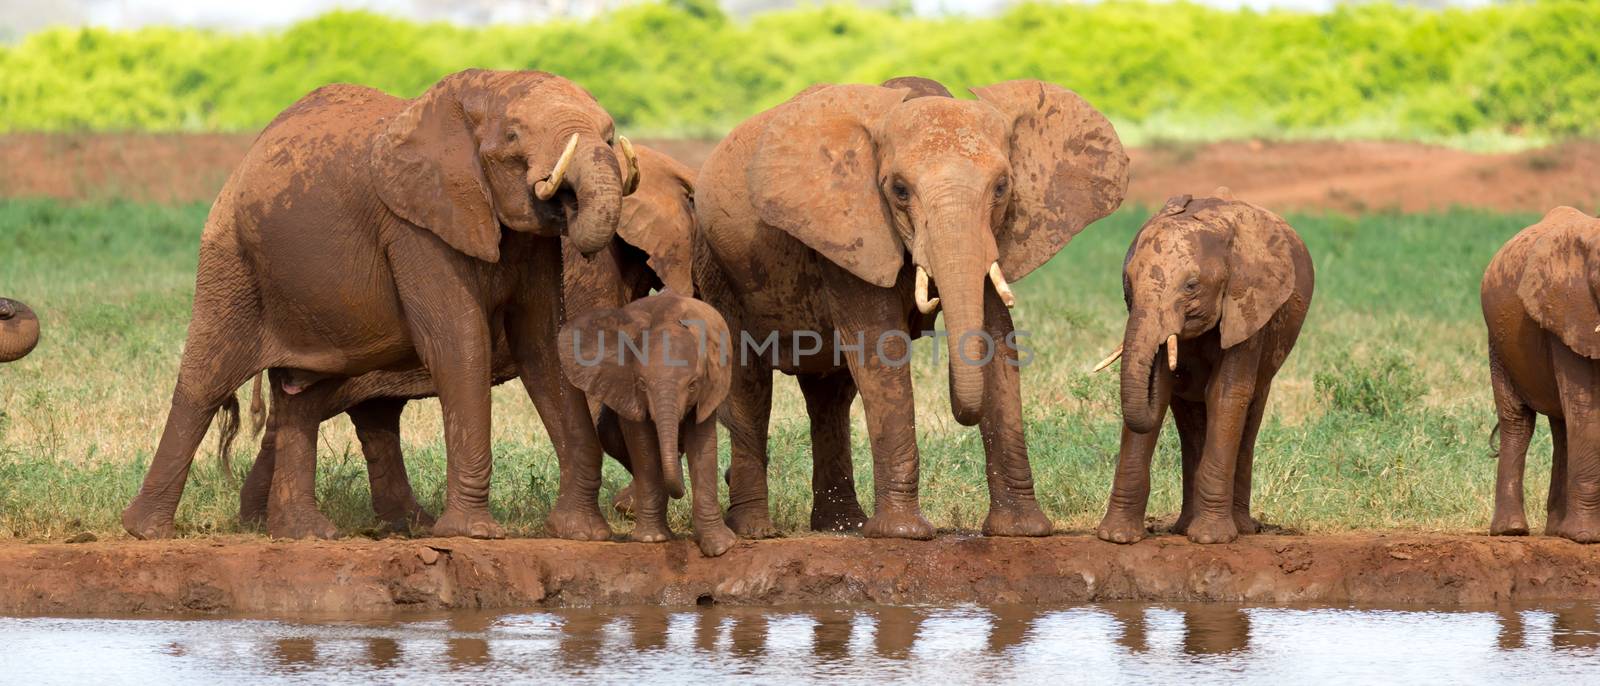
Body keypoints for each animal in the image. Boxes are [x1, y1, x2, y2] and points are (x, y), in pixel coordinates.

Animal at [120, 69, 636, 540]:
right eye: (513, 136)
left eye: (610, 136)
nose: (566, 201)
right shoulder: (414, 227)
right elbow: (459, 342)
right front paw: (473, 534)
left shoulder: (532, 244)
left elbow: (544, 347)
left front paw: (584, 533)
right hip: (230, 258)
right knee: (206, 380)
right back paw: (147, 531)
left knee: (301, 396)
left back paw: (305, 534)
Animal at [556, 291, 736, 553]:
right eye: (642, 384)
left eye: (693, 385)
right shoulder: (626, 388)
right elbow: (642, 445)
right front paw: (653, 539)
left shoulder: (710, 388)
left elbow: (703, 445)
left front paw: (720, 547)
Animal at [1094, 189, 1318, 543]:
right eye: (1127, 282)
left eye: (1191, 286)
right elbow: (1158, 397)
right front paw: (1117, 538)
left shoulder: (1249, 309)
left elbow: (1225, 395)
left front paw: (1211, 539)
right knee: (1189, 420)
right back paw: (1184, 527)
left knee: (1249, 416)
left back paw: (1241, 529)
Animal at [1478, 203, 1600, 540]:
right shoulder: (1570, 310)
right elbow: (1587, 408)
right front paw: (1586, 538)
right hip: (1499, 343)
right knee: (1518, 421)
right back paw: (1511, 531)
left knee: (1561, 426)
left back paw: (1557, 531)